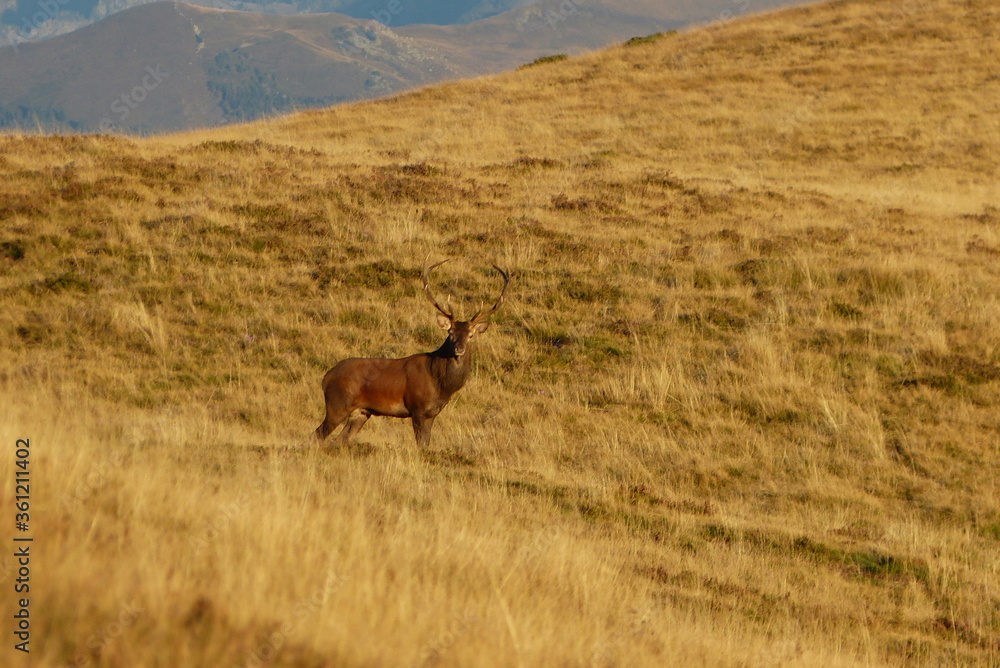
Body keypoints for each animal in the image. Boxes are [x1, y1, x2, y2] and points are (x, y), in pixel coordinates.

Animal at [314, 260, 509, 449]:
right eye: (451, 333)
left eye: (470, 335)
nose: (459, 348)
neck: (439, 383)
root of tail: (327, 377)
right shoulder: (417, 408)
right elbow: (421, 445)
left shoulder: (432, 413)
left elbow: (426, 445)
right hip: (337, 405)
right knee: (317, 434)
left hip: (360, 413)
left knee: (340, 439)